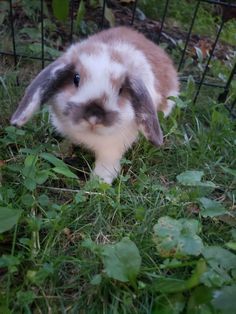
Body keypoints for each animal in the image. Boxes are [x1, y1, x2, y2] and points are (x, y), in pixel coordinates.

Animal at [9, 27, 179, 184]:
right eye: (76, 78)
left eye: (121, 90)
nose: (94, 117)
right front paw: (60, 150)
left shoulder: (112, 148)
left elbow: (107, 166)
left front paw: (97, 184)